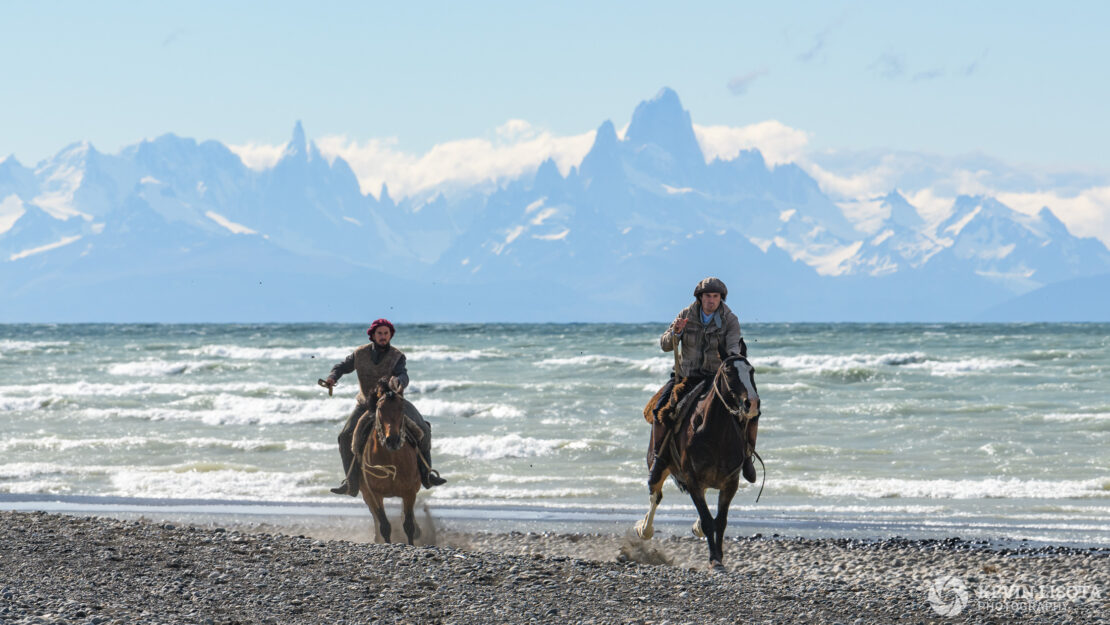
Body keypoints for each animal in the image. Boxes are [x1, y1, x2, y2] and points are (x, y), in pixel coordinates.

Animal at [352, 379, 421, 546]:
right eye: (380, 408)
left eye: (401, 408)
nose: (393, 440)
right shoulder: (375, 494)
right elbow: (384, 525)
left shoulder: (409, 491)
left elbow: (408, 525)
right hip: (366, 494)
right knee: (376, 519)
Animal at [639, 357, 759, 568]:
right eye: (729, 373)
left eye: (751, 371)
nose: (751, 403)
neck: (715, 433)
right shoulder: (692, 480)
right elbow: (708, 520)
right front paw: (714, 560)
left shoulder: (731, 483)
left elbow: (720, 521)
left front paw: (719, 555)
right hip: (658, 464)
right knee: (655, 494)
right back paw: (645, 529)